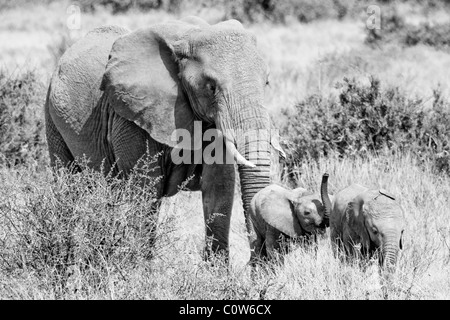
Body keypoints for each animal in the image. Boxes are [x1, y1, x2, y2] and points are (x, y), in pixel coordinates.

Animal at [44, 15, 284, 260]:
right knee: (69, 182)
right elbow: (146, 188)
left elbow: (219, 186)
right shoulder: (130, 118)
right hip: (52, 116)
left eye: (266, 82)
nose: (259, 257)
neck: (189, 37)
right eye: (211, 87)